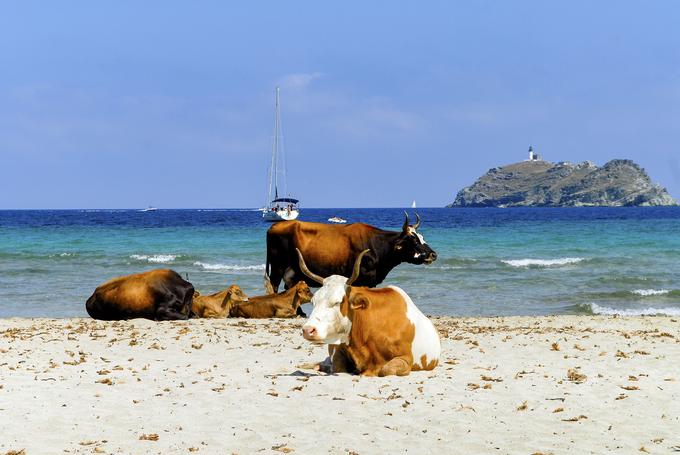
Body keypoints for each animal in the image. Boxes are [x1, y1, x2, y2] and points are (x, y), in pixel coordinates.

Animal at [262, 212, 438, 294]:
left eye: (421, 237)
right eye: (414, 240)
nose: (433, 254)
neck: (376, 244)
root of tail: (274, 226)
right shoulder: (362, 279)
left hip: (291, 271)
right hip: (277, 267)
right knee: (274, 287)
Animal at [298, 249, 440, 378]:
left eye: (338, 302)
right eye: (313, 301)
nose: (308, 330)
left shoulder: (406, 358)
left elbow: (386, 370)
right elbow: (337, 367)